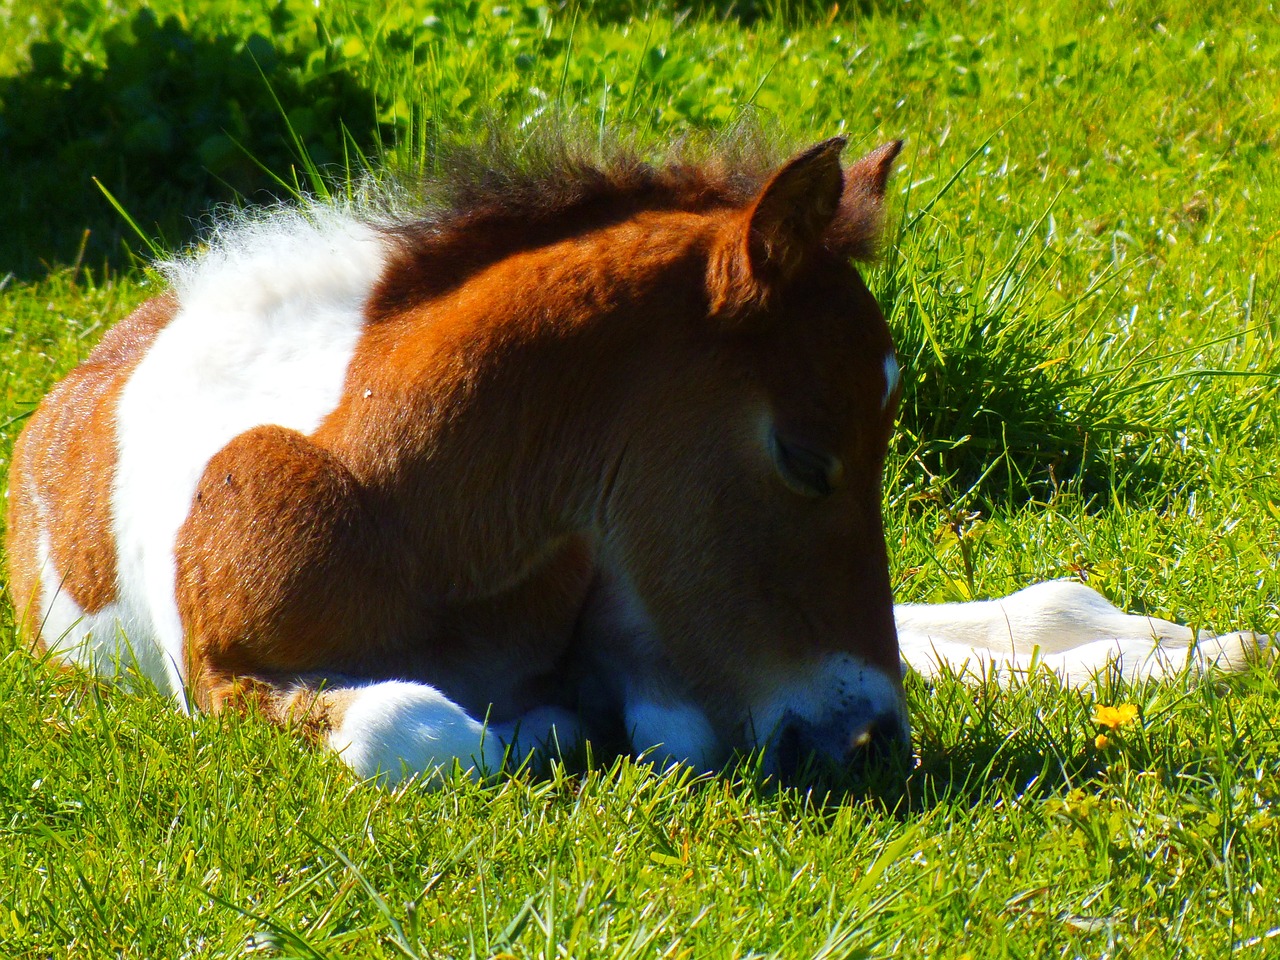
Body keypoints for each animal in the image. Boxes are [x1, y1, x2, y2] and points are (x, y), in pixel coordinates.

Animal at [5, 134, 1267, 784]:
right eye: (801, 454)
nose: (866, 745)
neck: (403, 511)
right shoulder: (220, 675)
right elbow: (422, 730)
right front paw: (541, 726)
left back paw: (1172, 645)